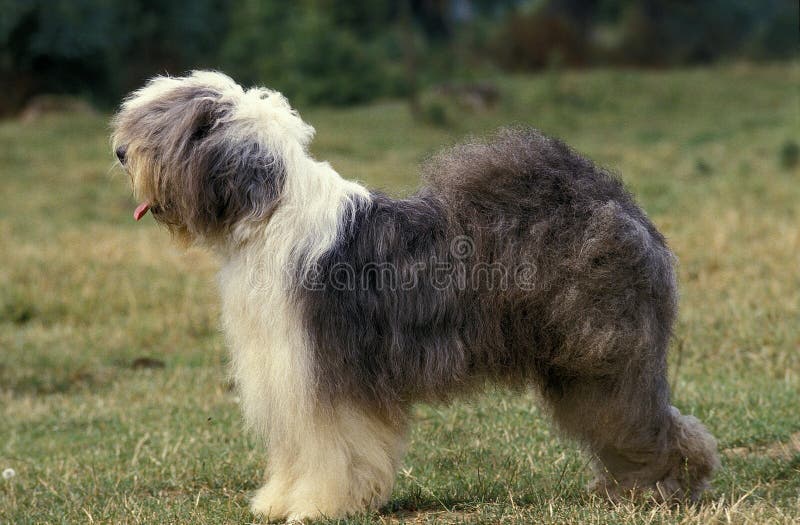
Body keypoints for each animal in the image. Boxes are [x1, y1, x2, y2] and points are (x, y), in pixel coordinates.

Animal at [111, 70, 720, 520]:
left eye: (160, 128)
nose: (118, 151)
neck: (267, 213)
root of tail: (614, 198)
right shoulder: (285, 372)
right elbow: (294, 450)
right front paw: (277, 502)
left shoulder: (328, 374)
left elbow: (333, 449)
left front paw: (318, 506)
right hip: (578, 365)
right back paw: (633, 488)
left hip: (603, 357)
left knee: (649, 421)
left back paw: (667, 487)